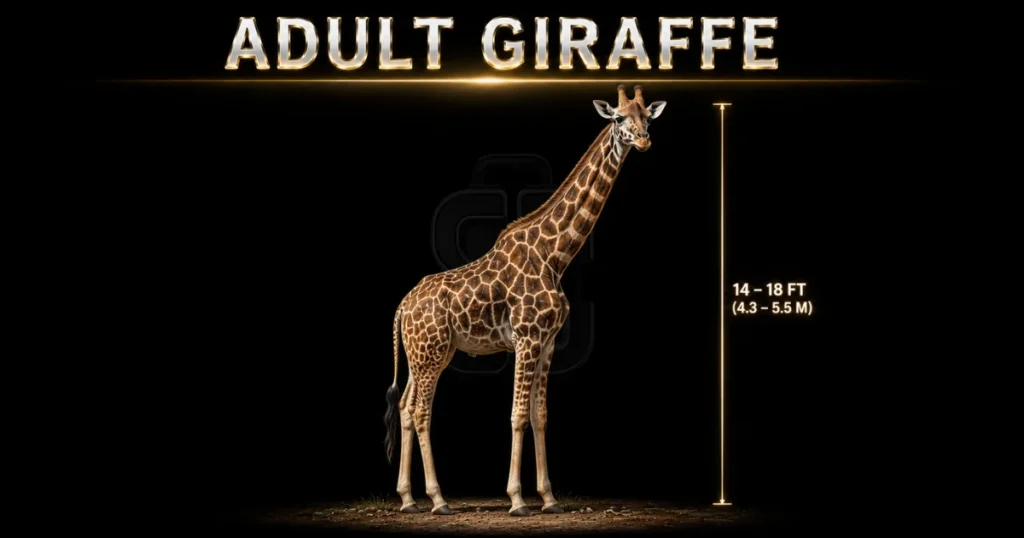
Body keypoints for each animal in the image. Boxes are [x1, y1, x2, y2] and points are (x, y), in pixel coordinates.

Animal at [383, 85, 666, 516]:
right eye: (619, 118)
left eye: (647, 117)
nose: (644, 140)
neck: (555, 256)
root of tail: (402, 306)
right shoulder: (527, 338)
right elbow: (517, 415)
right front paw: (517, 499)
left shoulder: (548, 343)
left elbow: (540, 415)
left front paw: (549, 498)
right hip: (430, 355)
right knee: (420, 411)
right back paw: (438, 499)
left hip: (426, 353)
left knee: (404, 407)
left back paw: (408, 499)